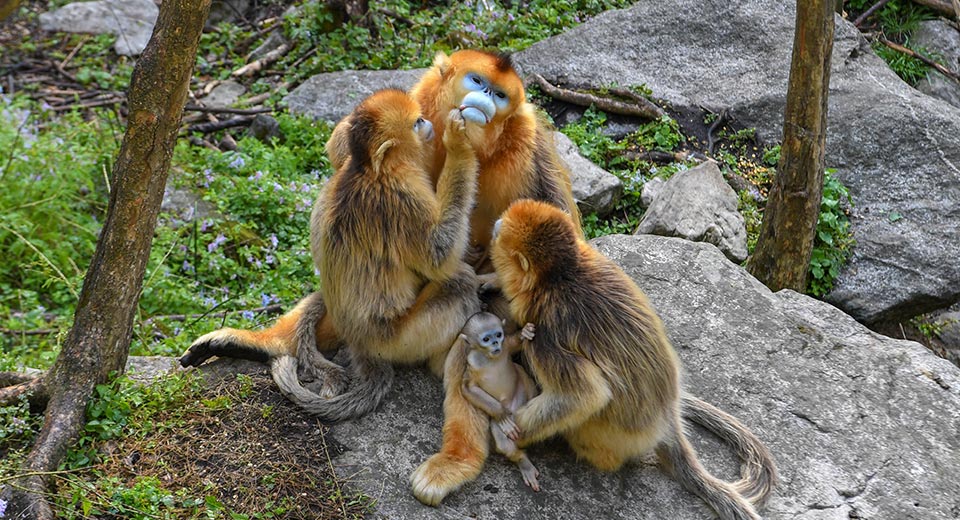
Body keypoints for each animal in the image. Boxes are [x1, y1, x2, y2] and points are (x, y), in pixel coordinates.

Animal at [456, 312, 540, 492]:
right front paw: (500, 413)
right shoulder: (472, 362)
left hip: (520, 399)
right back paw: (523, 461)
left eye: (498, 335)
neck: (489, 358)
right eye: (486, 339)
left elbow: (514, 344)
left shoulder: (506, 346)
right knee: (503, 443)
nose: (495, 343)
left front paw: (525, 333)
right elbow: (467, 388)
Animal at [488, 199, 780, 520]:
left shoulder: (544, 335)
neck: (561, 277)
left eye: (501, 231)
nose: (494, 225)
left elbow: (585, 396)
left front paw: (508, 436)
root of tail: (668, 415)